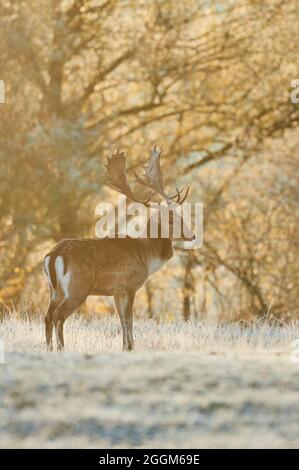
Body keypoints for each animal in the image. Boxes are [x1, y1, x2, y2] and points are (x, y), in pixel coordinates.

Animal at [44, 145, 195, 350]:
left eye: (181, 215)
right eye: (171, 219)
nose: (192, 235)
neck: (146, 256)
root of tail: (54, 254)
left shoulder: (116, 291)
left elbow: (121, 319)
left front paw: (125, 347)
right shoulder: (129, 285)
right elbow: (129, 319)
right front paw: (130, 347)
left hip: (54, 291)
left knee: (47, 316)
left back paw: (49, 349)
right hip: (77, 288)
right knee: (58, 316)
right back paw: (61, 349)